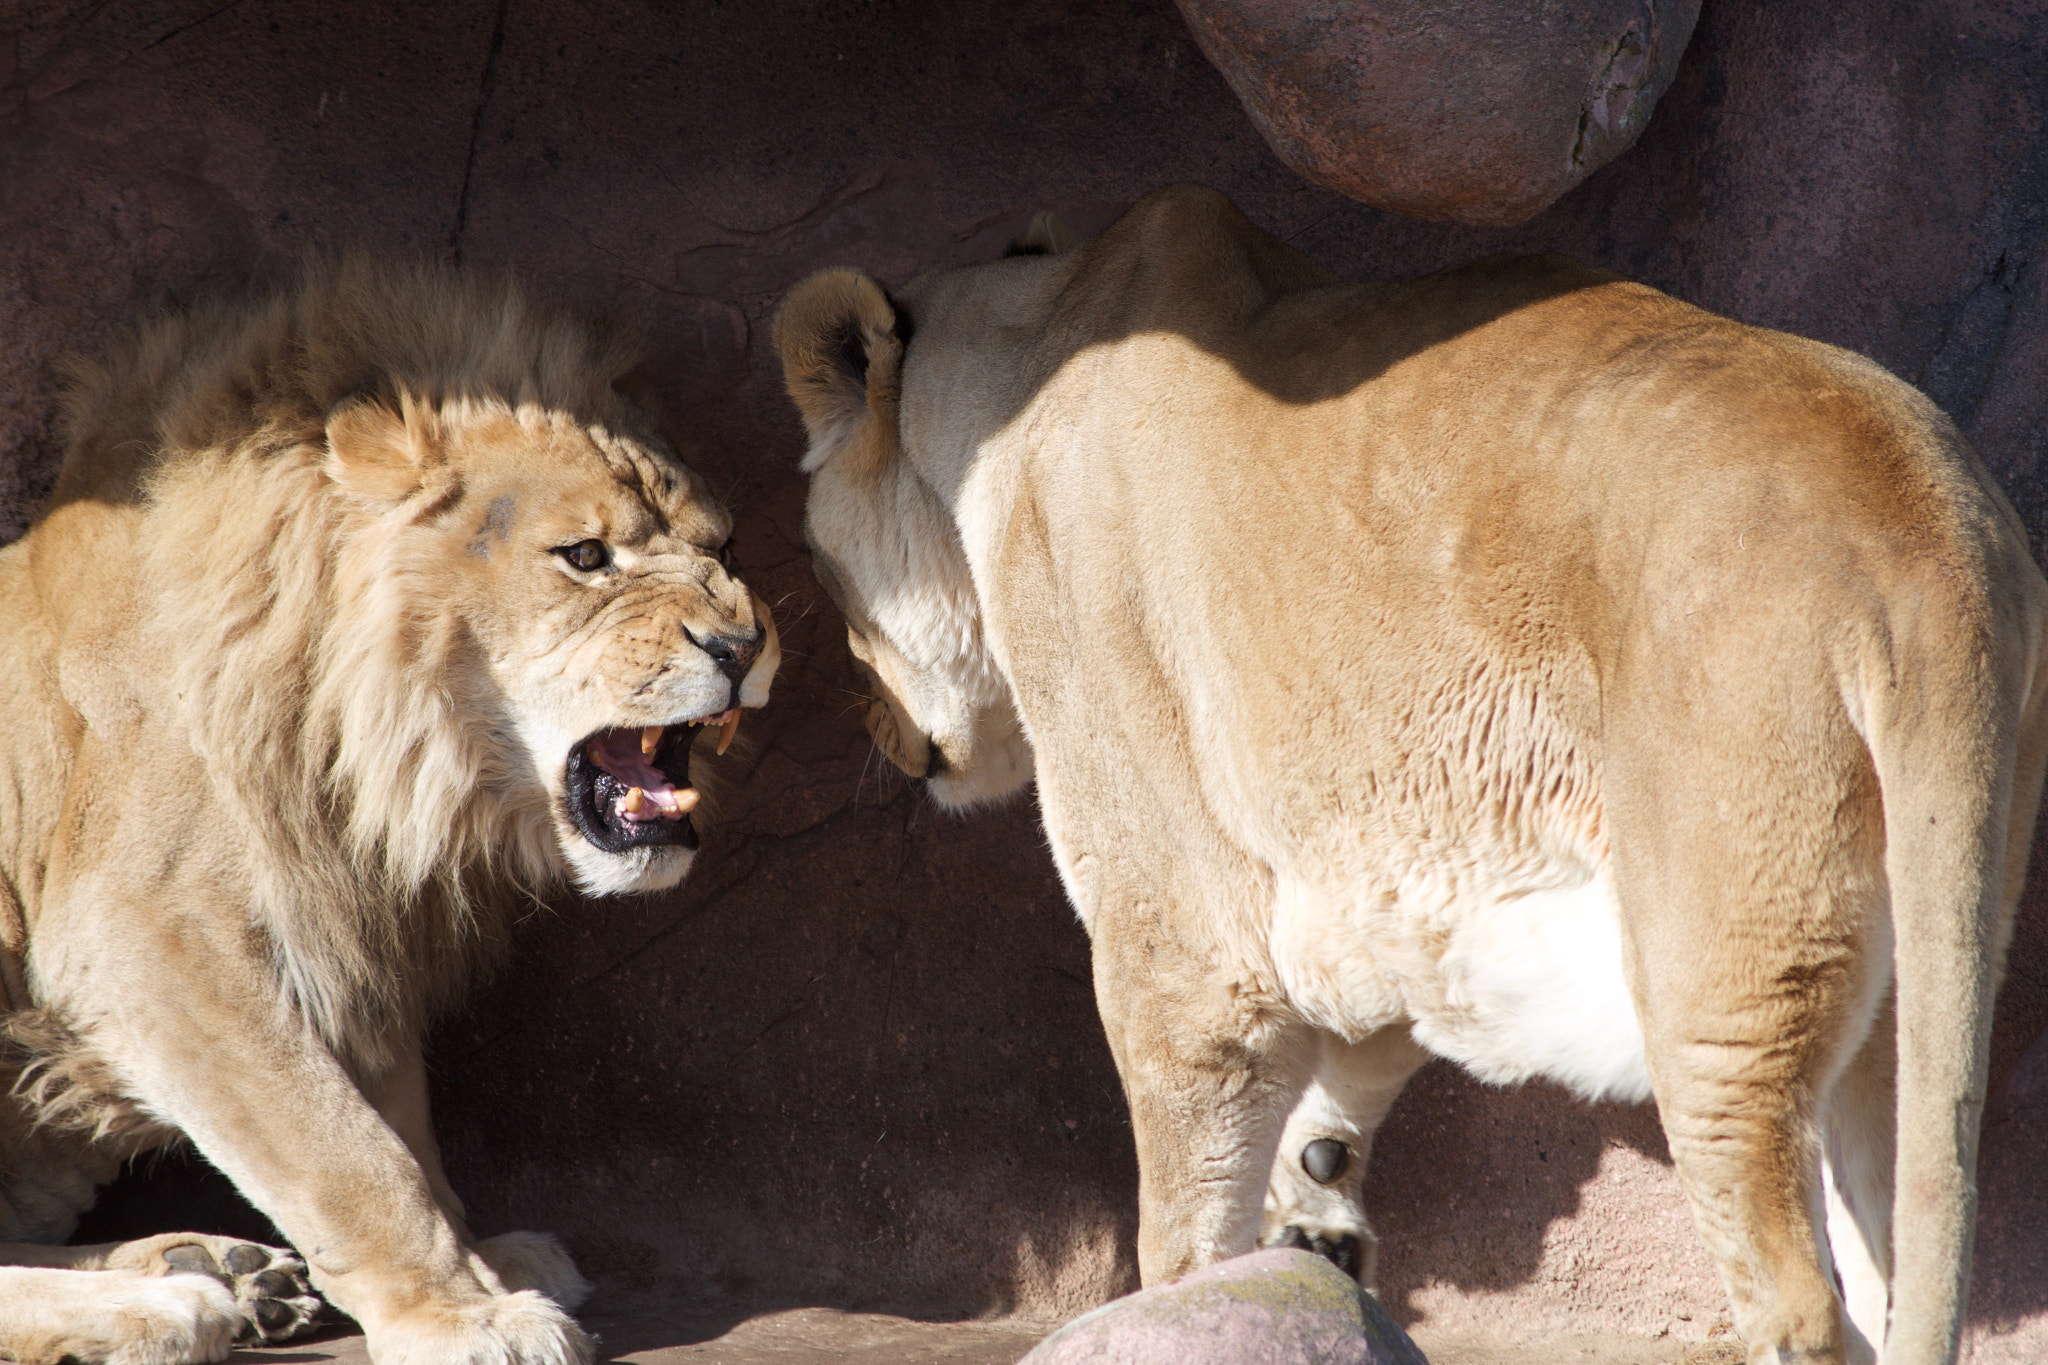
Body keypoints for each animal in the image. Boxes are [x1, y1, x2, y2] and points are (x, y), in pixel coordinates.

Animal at [0, 258, 778, 1365]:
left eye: (725, 545)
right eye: (584, 556)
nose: (745, 646)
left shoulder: (350, 928)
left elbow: (402, 1125)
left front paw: (483, 1262)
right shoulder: (149, 933)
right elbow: (342, 1150)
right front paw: (466, 1315)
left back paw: (218, 1266)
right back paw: (167, 1307)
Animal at [778, 189, 2048, 1365]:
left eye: (814, 570)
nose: (874, 727)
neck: (1028, 349)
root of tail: (1923, 534)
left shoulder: (1179, 925)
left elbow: (1182, 1214)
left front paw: (1188, 1301)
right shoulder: (1370, 886)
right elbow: (1354, 1051)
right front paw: (1315, 1209)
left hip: (1721, 964)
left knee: (1793, 1289)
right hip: (1918, 951)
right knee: (1895, 1245)